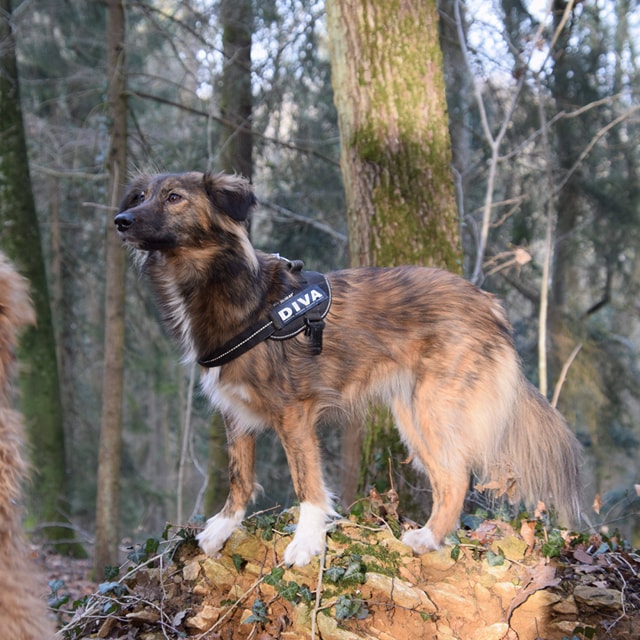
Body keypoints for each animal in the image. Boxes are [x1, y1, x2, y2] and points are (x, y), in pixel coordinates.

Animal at [114, 170, 580, 564]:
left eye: (174, 198)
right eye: (141, 196)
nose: (120, 220)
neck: (223, 281)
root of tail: (489, 303)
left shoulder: (294, 413)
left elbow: (306, 481)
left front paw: (306, 541)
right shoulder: (235, 411)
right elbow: (239, 476)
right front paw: (223, 527)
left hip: (435, 407)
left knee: (457, 478)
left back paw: (428, 538)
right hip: (410, 414)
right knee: (445, 477)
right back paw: (430, 535)